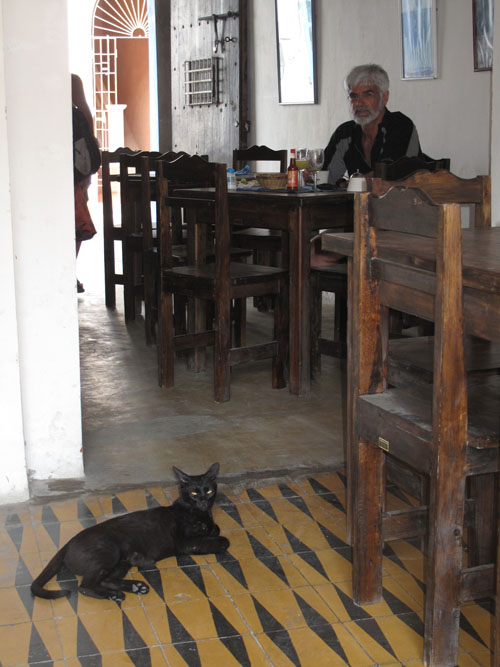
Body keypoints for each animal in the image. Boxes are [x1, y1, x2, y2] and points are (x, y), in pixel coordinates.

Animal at [29, 462, 229, 604]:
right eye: (194, 493)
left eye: (209, 490)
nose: (203, 501)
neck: (199, 513)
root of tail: (68, 543)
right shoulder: (184, 542)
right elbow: (219, 540)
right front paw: (217, 541)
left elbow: (215, 528)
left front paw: (211, 529)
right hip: (109, 553)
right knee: (85, 586)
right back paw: (117, 594)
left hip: (120, 563)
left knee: (104, 580)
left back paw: (135, 587)